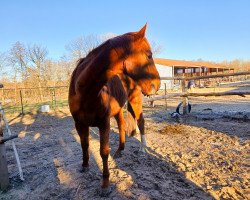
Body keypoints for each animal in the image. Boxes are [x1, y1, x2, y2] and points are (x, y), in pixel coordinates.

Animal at [69, 24, 160, 195]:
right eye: (149, 55)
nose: (156, 85)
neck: (86, 93)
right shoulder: (79, 123)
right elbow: (84, 144)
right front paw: (85, 166)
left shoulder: (103, 123)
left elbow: (104, 152)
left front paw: (105, 184)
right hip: (118, 110)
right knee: (122, 125)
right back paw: (120, 150)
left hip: (135, 101)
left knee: (141, 122)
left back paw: (143, 149)